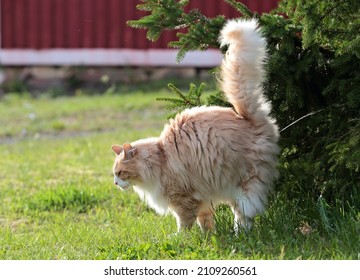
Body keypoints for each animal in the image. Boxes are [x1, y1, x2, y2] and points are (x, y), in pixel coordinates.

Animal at [111, 19, 280, 233]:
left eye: (120, 173)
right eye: (115, 174)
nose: (116, 183)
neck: (160, 158)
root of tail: (249, 118)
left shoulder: (182, 198)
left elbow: (184, 222)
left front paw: (179, 237)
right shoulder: (201, 198)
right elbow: (204, 220)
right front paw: (208, 235)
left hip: (245, 184)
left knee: (245, 215)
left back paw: (239, 234)